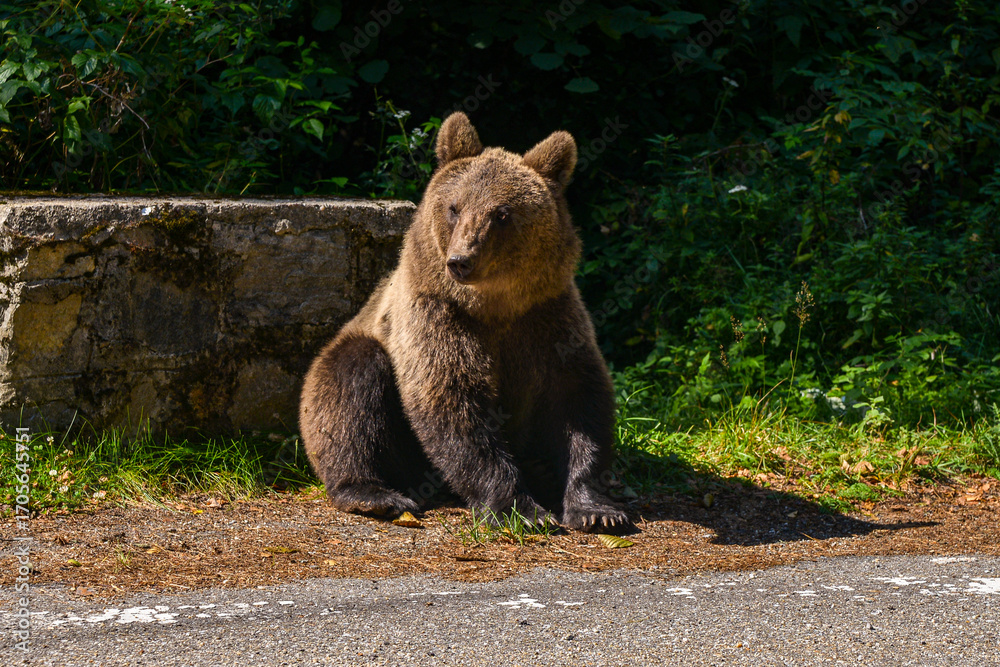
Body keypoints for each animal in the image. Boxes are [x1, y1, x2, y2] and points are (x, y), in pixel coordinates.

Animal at [299, 112, 629, 532]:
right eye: (454, 207)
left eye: (502, 213)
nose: (461, 260)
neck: (495, 305)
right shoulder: (436, 316)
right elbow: (453, 399)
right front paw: (521, 509)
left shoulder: (549, 316)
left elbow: (578, 399)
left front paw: (596, 509)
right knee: (350, 385)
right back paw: (372, 493)